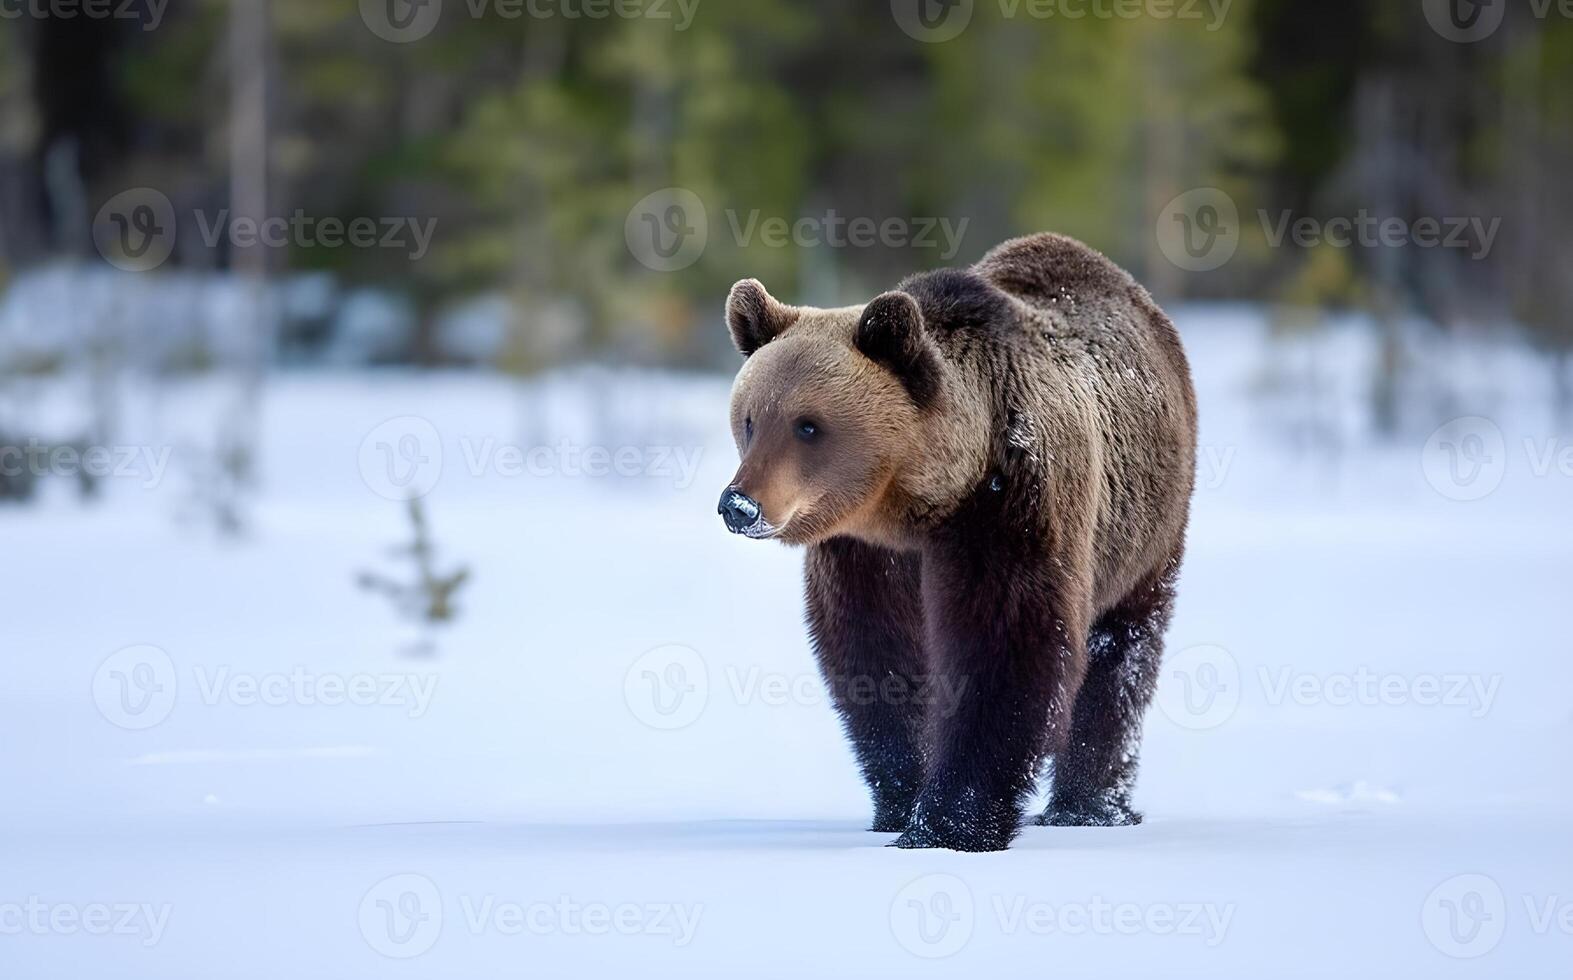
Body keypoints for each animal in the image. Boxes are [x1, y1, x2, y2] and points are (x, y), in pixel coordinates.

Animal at [720, 231, 1195, 849]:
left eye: (808, 424)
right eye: (750, 419)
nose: (738, 505)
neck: (920, 501)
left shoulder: (1009, 509)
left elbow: (1006, 647)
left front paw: (951, 820)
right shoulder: (864, 553)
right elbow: (877, 660)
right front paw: (902, 802)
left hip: (1146, 531)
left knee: (1121, 657)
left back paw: (1090, 807)